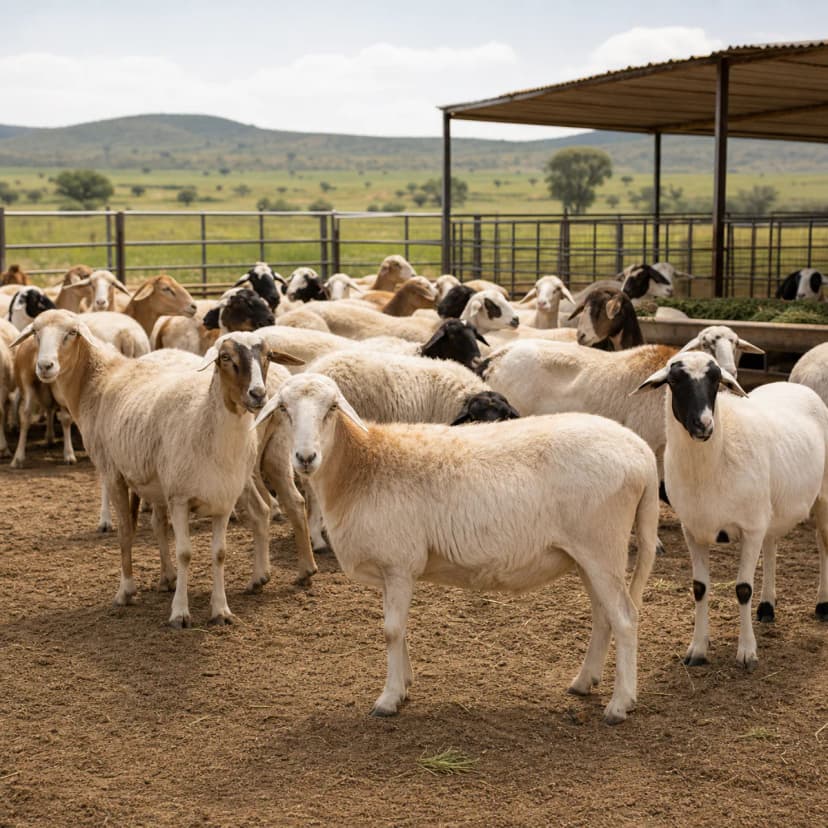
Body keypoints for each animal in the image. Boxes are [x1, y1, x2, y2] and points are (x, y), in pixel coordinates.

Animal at [13, 311, 312, 624]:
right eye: (35, 334)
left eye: (71, 332)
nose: (45, 366)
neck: (99, 380)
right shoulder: (152, 480)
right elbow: (154, 528)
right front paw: (165, 582)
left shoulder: (116, 471)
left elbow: (139, 533)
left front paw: (134, 592)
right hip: (274, 453)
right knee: (282, 503)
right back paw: (286, 572)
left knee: (265, 508)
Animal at [252, 372, 659, 722]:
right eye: (284, 409)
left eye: (332, 408)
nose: (305, 458)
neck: (361, 465)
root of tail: (642, 453)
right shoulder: (392, 570)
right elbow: (399, 629)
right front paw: (405, 684)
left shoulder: (399, 563)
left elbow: (391, 630)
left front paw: (388, 698)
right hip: (587, 555)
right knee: (604, 616)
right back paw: (584, 682)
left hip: (601, 545)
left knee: (625, 618)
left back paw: (620, 704)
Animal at [633, 351, 828, 670]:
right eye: (674, 380)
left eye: (716, 381)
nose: (704, 425)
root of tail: (794, 385)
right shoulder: (694, 530)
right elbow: (699, 587)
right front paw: (697, 649)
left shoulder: (749, 528)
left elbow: (742, 589)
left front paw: (747, 652)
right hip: (768, 509)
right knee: (772, 545)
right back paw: (767, 606)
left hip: (822, 496)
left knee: (823, 544)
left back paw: (822, 604)